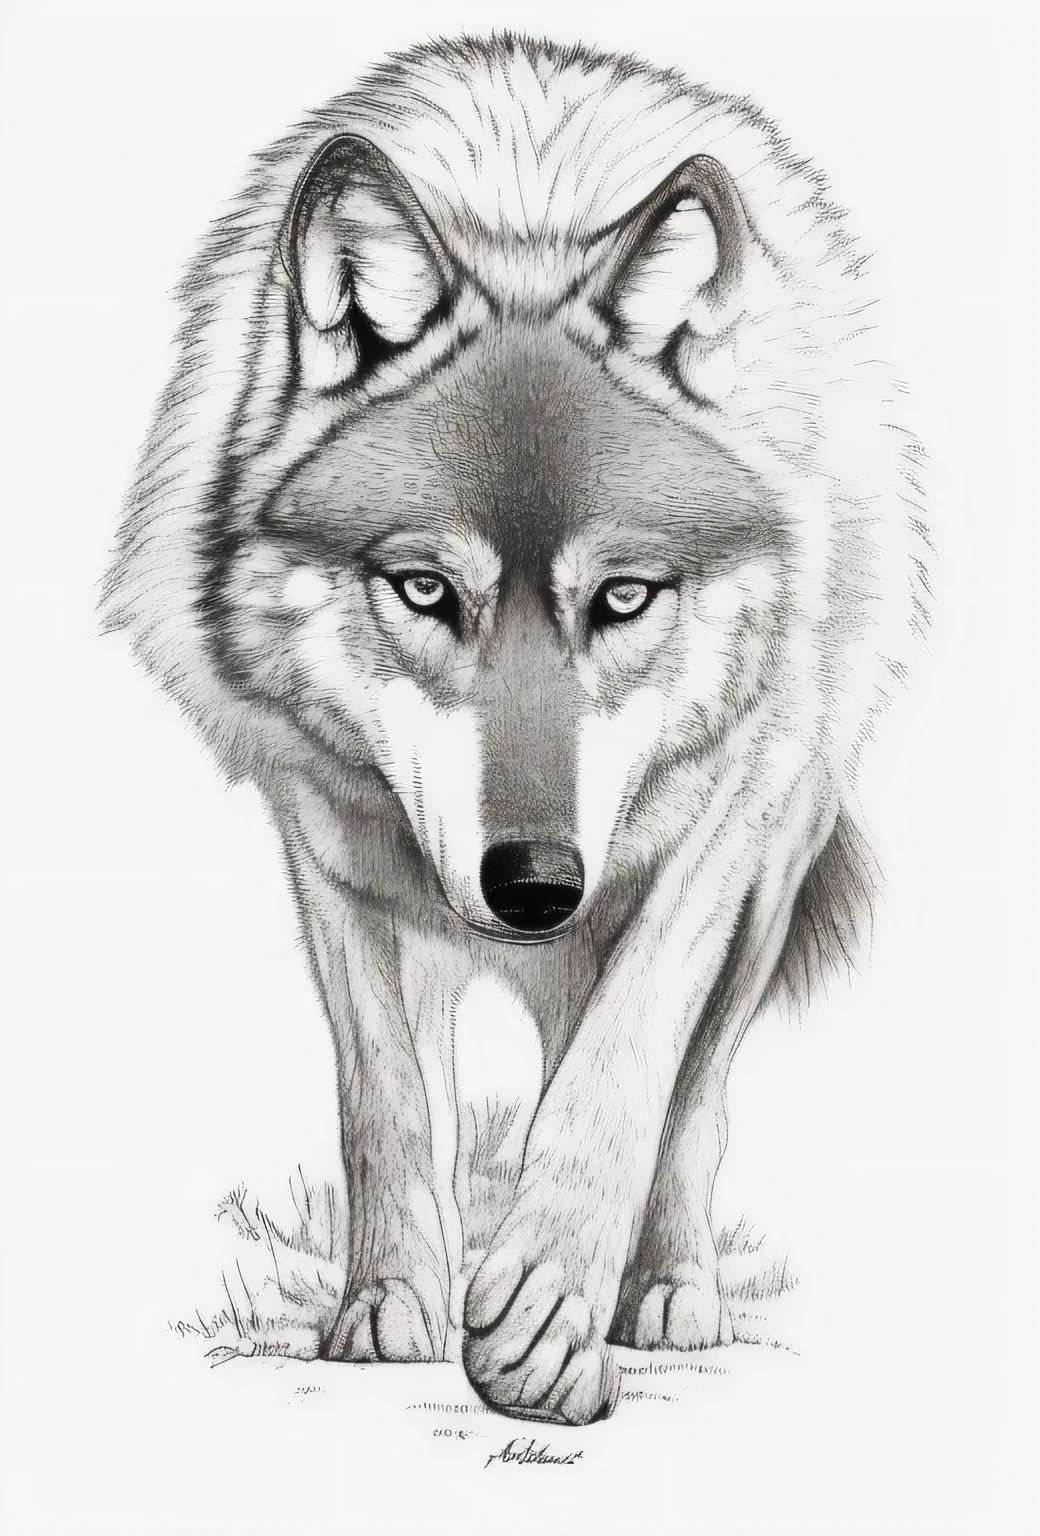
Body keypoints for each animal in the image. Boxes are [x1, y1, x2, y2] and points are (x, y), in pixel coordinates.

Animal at [104, 35, 928, 1424]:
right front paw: (392, 1305)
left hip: (769, 871)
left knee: (688, 1093)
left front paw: (546, 1312)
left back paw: (665, 1289)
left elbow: (623, 1073)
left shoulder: (716, 829)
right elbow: (384, 1097)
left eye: (623, 598)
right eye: (426, 589)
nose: (536, 883)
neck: (528, 209)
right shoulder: (325, 847)